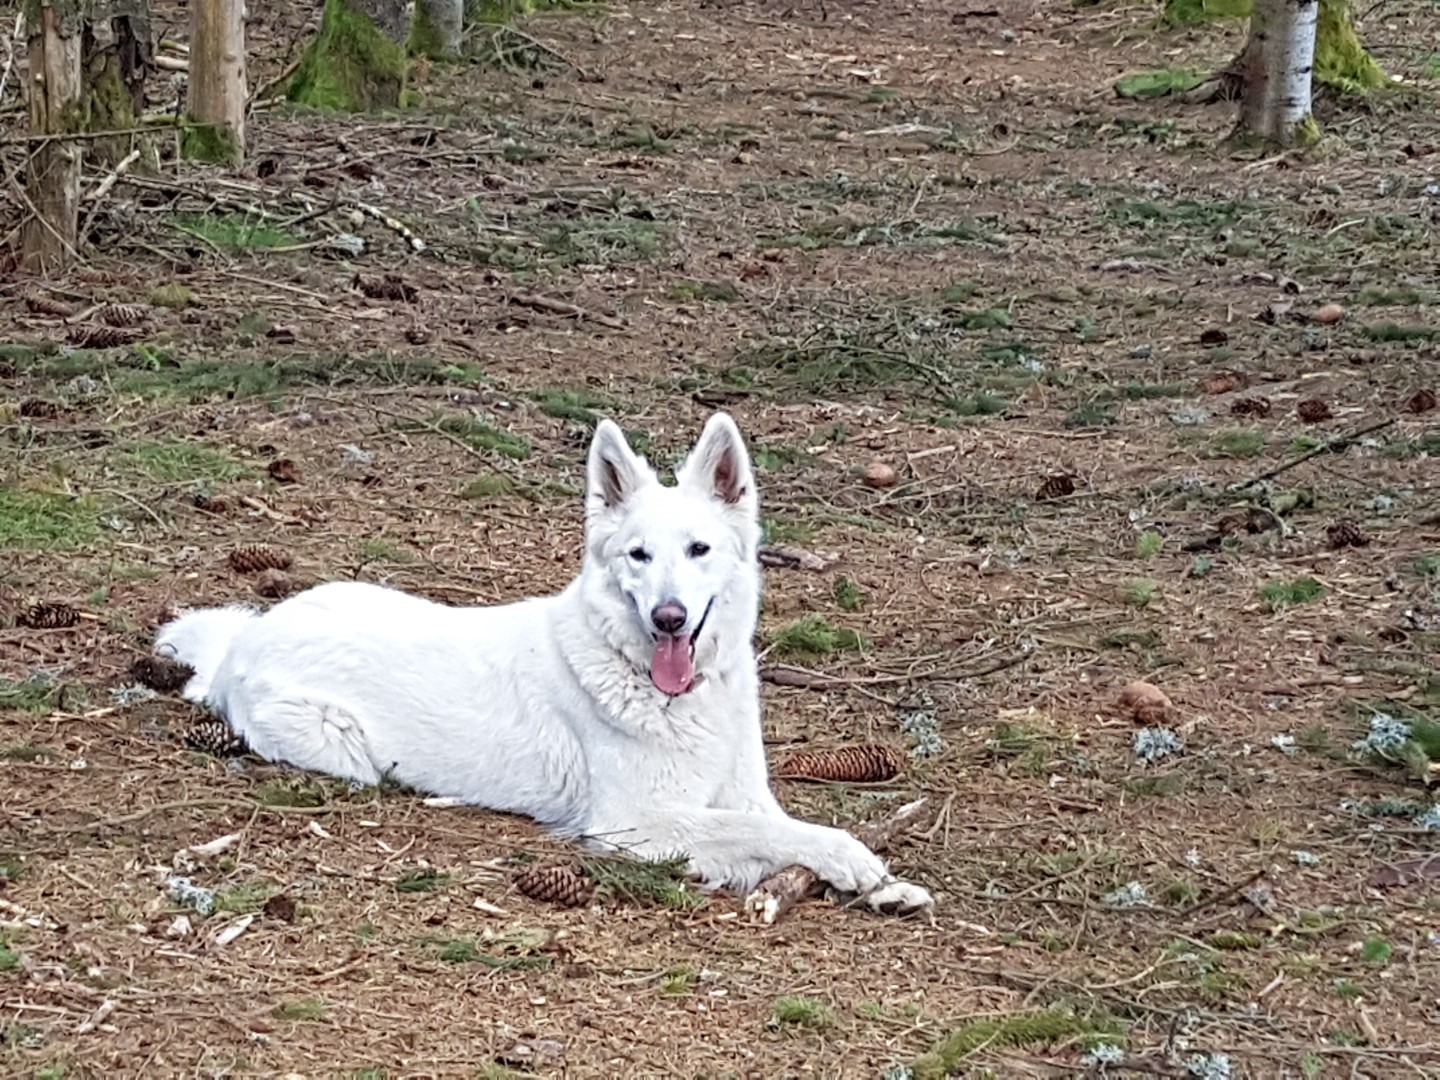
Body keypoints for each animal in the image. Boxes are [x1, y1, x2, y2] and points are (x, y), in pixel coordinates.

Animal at [154, 414, 933, 915]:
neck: (671, 692)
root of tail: (248, 638)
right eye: (639, 556)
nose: (668, 618)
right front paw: (853, 861)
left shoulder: (740, 793)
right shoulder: (637, 822)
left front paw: (885, 884)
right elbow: (774, 834)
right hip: (344, 751)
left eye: (699, 550)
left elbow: (782, 823)